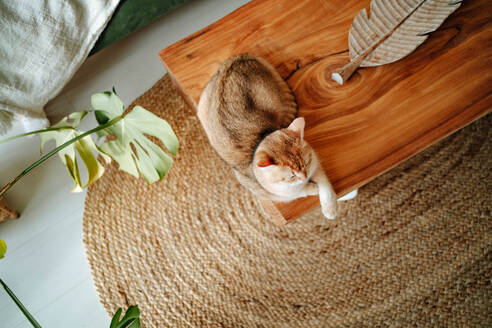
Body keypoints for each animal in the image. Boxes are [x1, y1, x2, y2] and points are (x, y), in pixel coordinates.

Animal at [196, 53, 338, 219]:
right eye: (291, 177)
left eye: (307, 164)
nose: (304, 177)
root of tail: (238, 58)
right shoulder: (267, 191)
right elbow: (297, 193)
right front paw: (311, 188)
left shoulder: (315, 165)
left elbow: (324, 185)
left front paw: (330, 208)